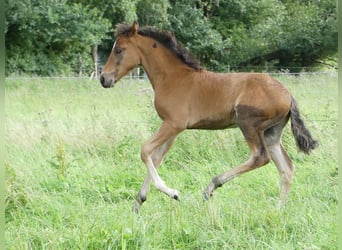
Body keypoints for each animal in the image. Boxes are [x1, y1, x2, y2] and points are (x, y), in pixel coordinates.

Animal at [99, 22, 318, 212]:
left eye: (119, 50)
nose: (103, 78)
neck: (172, 78)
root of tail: (287, 95)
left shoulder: (173, 124)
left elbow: (145, 151)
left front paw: (172, 192)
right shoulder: (172, 129)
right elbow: (156, 157)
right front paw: (139, 202)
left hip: (248, 124)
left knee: (260, 157)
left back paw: (211, 186)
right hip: (272, 132)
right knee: (286, 168)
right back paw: (279, 209)